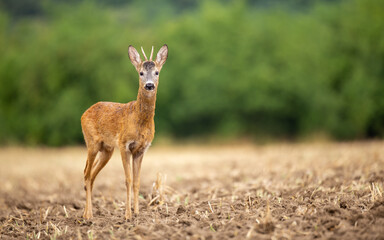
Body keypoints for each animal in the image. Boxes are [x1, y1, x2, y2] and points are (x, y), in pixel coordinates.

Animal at [81, 43, 168, 219]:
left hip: (107, 149)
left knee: (91, 175)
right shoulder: (123, 144)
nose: (149, 85)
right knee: (86, 173)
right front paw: (127, 215)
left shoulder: (141, 149)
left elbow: (137, 181)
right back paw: (88, 216)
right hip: (92, 142)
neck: (139, 121)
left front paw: (137, 212)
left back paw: (87, 214)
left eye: (156, 72)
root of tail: (84, 113)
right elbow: (127, 180)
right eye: (141, 73)